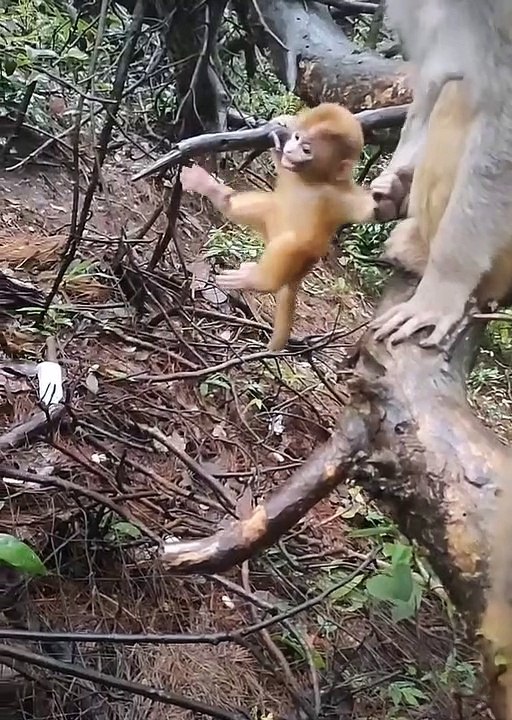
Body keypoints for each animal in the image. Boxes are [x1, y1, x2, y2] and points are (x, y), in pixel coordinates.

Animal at [180, 103, 376, 351]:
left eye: (306, 149)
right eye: (297, 137)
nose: (291, 150)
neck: (310, 181)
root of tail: (296, 277)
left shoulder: (338, 196)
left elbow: (370, 210)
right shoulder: (291, 172)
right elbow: (279, 162)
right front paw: (280, 129)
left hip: (301, 258)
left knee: (292, 244)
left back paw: (258, 280)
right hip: (272, 224)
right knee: (266, 208)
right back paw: (220, 196)